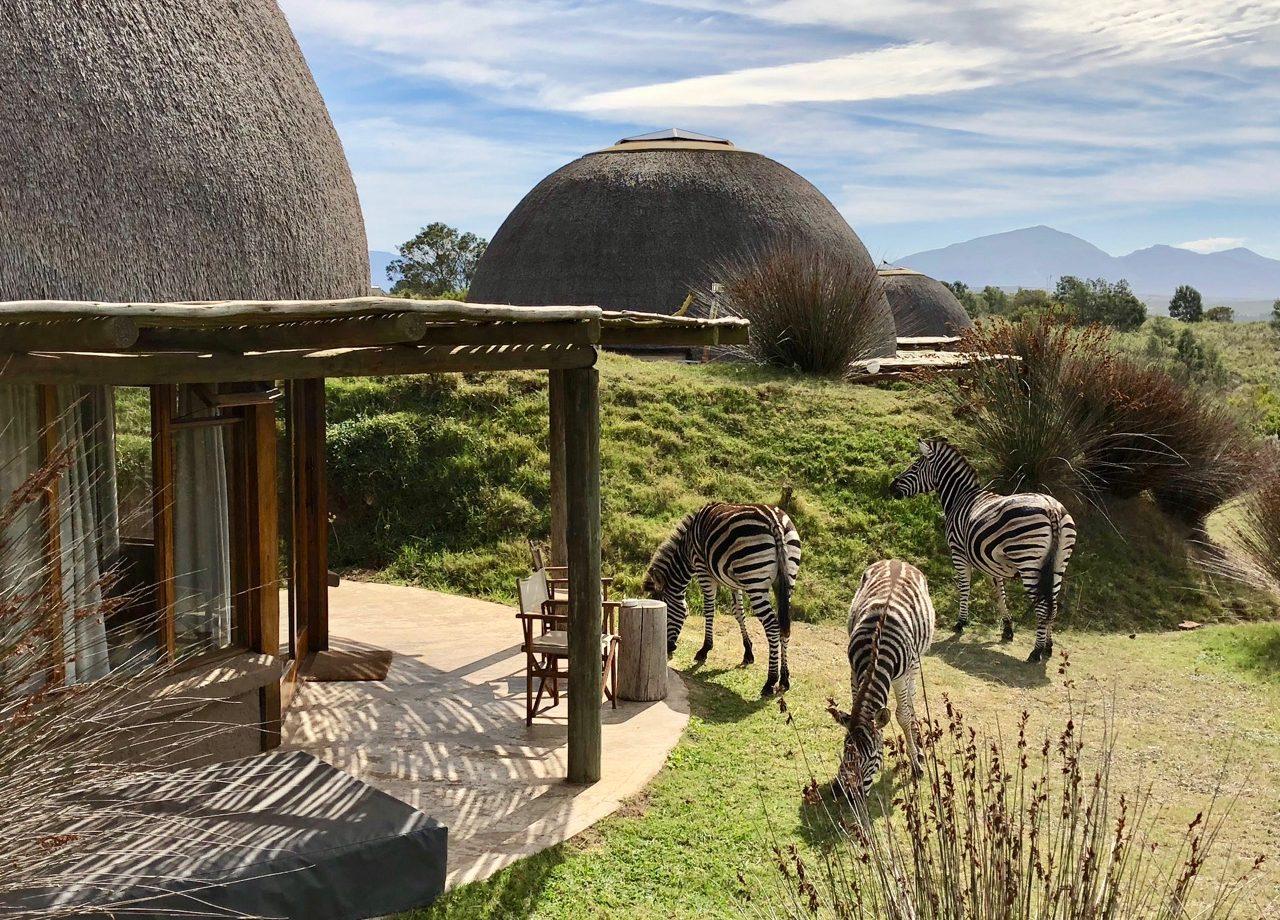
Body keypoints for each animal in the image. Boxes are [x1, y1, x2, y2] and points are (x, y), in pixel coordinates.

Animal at [643, 502, 801, 697]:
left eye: (665, 615)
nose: (668, 649)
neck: (687, 547)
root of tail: (775, 521)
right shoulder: (734, 582)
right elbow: (738, 613)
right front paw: (748, 653)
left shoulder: (703, 569)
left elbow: (709, 608)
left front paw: (704, 650)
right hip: (786, 578)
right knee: (785, 625)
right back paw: (784, 679)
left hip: (754, 580)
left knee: (772, 625)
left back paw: (770, 681)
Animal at [827, 559, 935, 801]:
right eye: (845, 753)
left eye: (871, 758)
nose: (847, 796)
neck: (876, 647)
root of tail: (897, 561)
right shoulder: (854, 671)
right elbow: (855, 705)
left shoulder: (901, 676)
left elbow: (902, 716)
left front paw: (916, 766)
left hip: (915, 663)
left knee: (910, 699)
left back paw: (917, 747)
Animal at [889, 437, 1077, 663]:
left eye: (915, 467)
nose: (890, 487)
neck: (959, 497)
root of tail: (1051, 509)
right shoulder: (992, 563)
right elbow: (1000, 593)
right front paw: (1007, 629)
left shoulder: (958, 552)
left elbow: (964, 586)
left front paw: (961, 622)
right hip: (1058, 565)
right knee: (1052, 606)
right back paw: (1048, 646)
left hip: (1029, 562)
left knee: (1043, 606)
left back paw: (1036, 651)